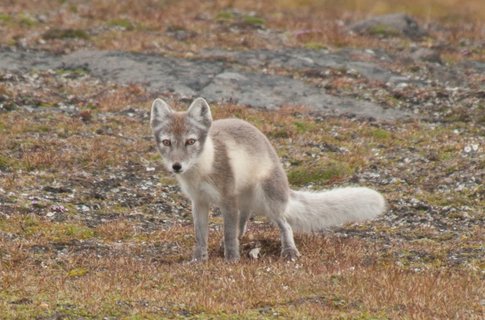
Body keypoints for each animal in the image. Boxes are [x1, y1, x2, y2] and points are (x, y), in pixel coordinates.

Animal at [149, 98, 384, 262]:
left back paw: (289, 252)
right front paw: (198, 260)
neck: (201, 170)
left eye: (190, 141)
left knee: (284, 225)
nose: (177, 166)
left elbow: (229, 233)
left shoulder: (227, 198)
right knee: (243, 222)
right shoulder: (199, 202)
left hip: (268, 198)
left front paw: (231, 261)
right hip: (247, 201)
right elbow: (200, 236)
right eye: (167, 142)